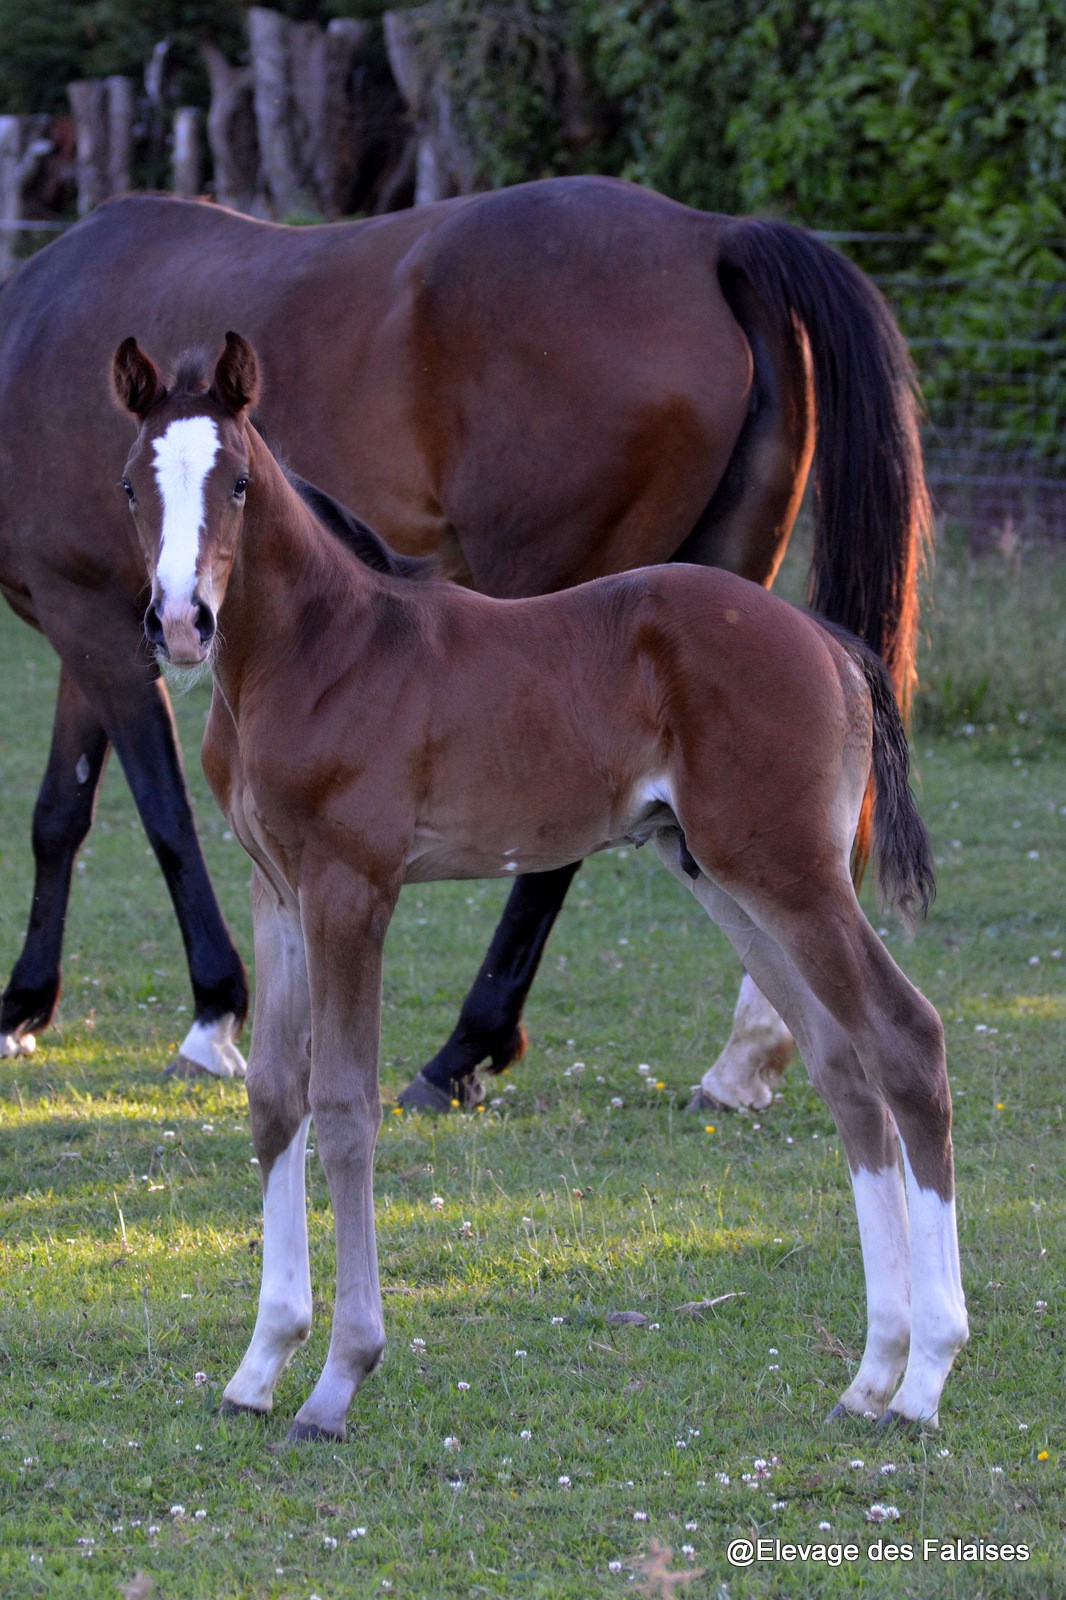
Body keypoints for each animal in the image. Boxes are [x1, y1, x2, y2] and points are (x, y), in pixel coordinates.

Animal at [0, 175, 928, 1100]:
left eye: (238, 485)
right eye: (129, 486)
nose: (185, 618)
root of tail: (712, 236)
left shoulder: (91, 619)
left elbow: (159, 814)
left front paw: (209, 1015)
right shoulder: (103, 622)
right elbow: (59, 814)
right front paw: (23, 1005)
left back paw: (464, 1047)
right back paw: (748, 1053)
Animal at [114, 334, 960, 1440]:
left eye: (242, 484)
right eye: (133, 486)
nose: (181, 620)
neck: (319, 650)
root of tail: (827, 641)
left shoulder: (352, 889)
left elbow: (342, 1106)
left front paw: (339, 1377)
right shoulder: (276, 888)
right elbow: (273, 1101)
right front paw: (259, 1366)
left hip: (793, 876)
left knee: (905, 1039)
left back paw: (927, 1377)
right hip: (730, 880)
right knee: (843, 1066)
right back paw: (872, 1374)